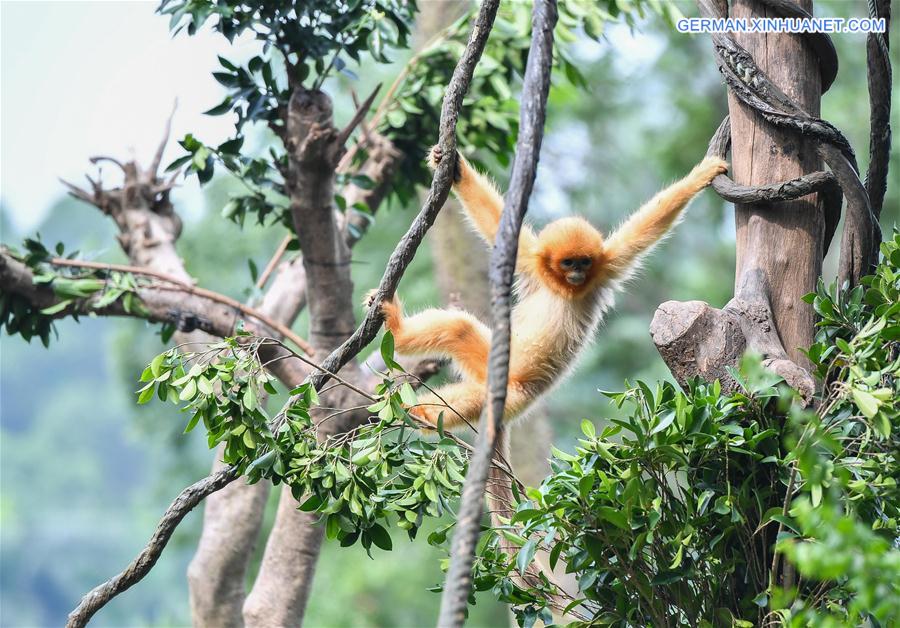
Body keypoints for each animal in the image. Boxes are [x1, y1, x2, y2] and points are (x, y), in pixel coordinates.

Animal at [374, 145, 728, 430]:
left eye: (583, 262)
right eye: (568, 262)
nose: (578, 273)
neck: (562, 287)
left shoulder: (607, 266)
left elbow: (643, 230)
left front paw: (699, 176)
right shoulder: (532, 263)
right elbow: (497, 224)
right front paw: (455, 167)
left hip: (513, 393)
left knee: (474, 386)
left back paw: (421, 411)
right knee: (458, 329)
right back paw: (401, 339)